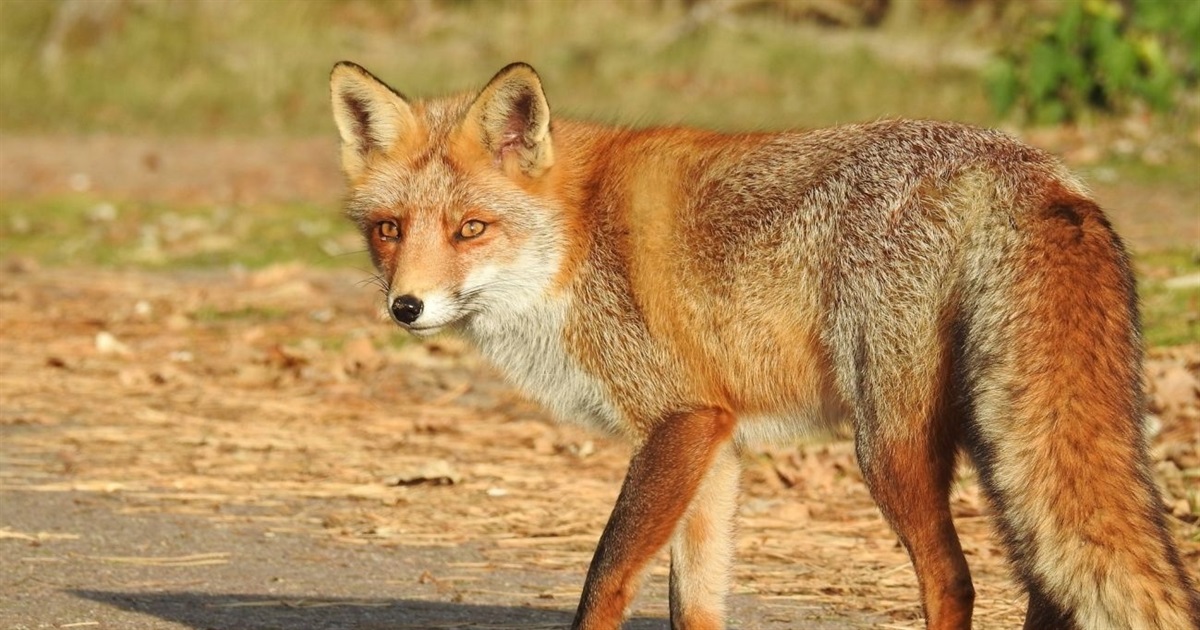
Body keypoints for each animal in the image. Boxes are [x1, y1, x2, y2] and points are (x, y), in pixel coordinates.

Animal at [328, 60, 1200, 628]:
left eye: (471, 229)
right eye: (389, 230)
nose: (406, 306)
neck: (575, 241)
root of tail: (1026, 165)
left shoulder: (680, 421)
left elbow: (604, 581)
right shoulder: (716, 444)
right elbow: (695, 605)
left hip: (890, 444)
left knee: (955, 580)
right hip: (999, 440)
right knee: (1047, 581)